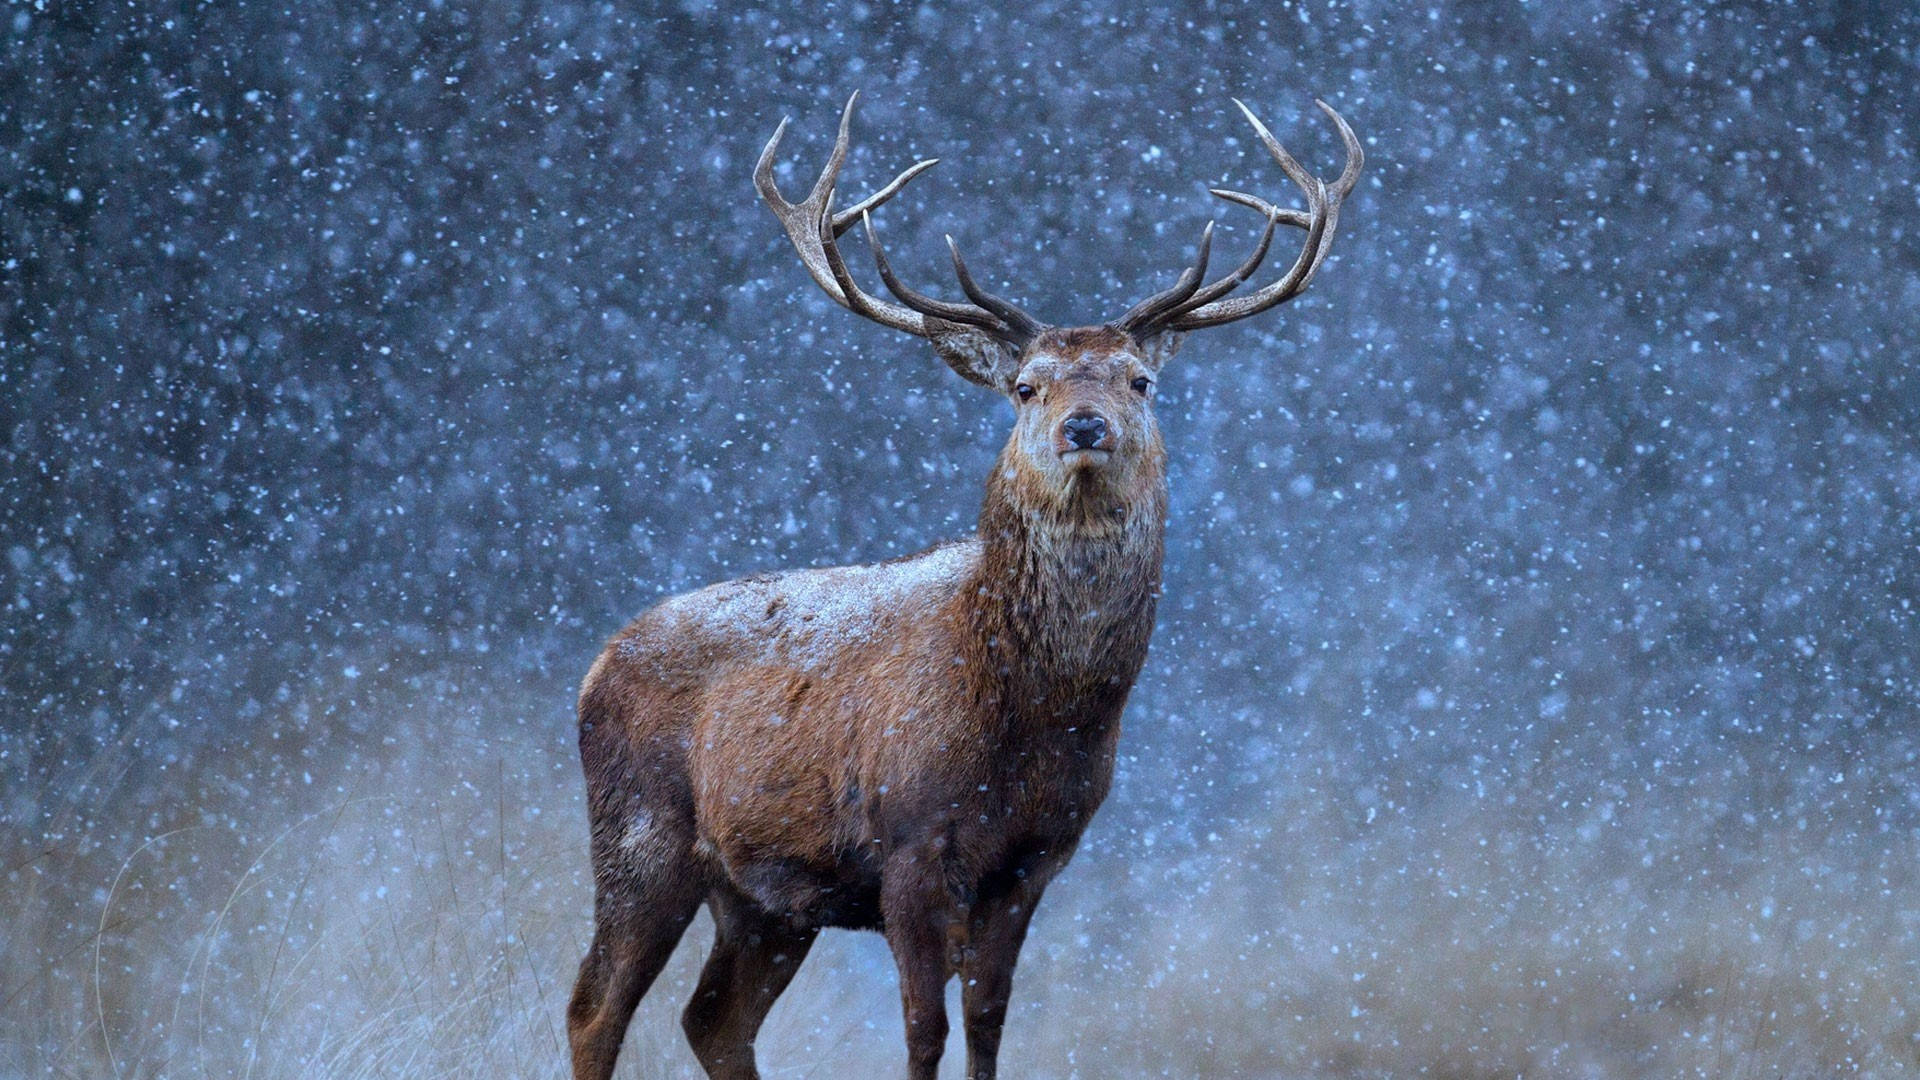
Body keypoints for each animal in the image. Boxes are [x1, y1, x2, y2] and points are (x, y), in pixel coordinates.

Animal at [566, 92, 1361, 1080]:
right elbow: (923, 1027)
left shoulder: (1037, 858)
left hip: (766, 895)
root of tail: (597, 664)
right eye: (1025, 386)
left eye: (1140, 380)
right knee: (596, 1005)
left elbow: (986, 1018)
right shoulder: (909, 840)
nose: (1085, 426)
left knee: (714, 1016)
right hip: (640, 831)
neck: (1032, 717)